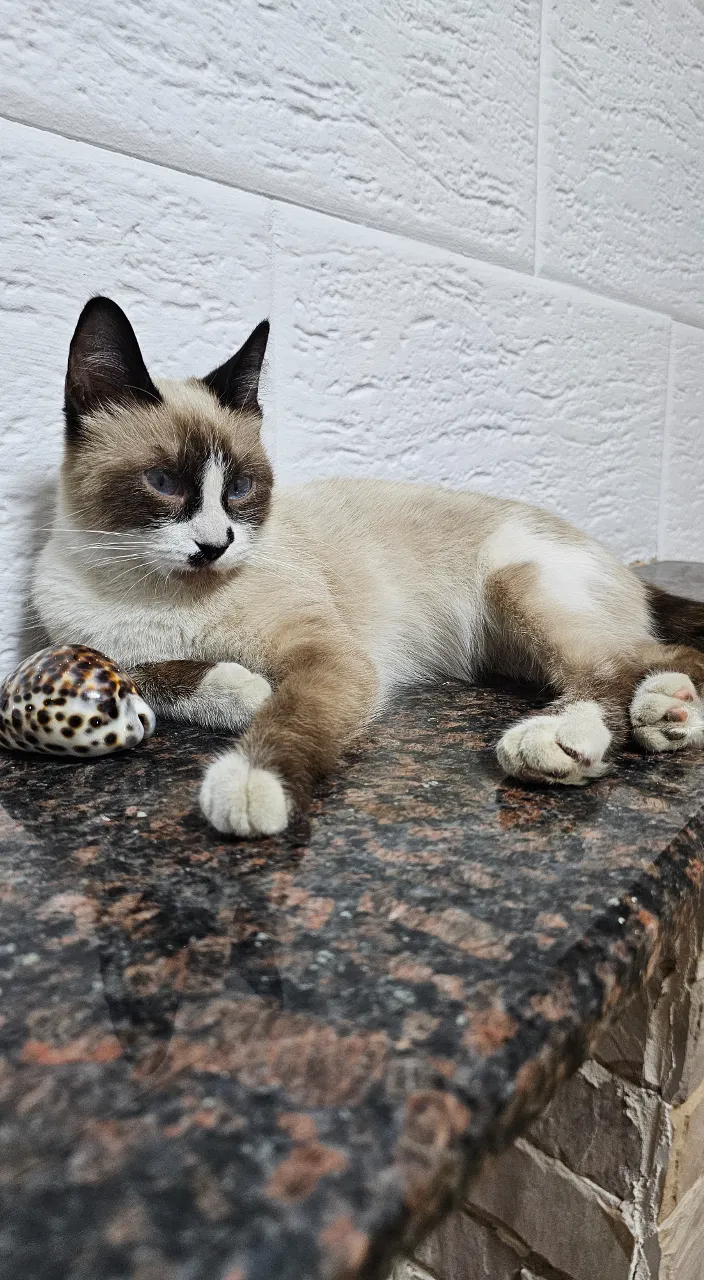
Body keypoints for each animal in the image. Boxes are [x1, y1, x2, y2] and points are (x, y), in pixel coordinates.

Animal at [31, 299, 704, 839]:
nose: (216, 545)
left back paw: (574, 736)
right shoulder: (90, 650)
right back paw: (665, 716)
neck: (160, 594)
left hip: (512, 587)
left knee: (628, 665)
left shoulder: (327, 655)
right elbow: (150, 675)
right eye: (164, 483)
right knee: (646, 661)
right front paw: (242, 690)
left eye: (241, 487)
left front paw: (251, 777)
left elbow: (293, 714)